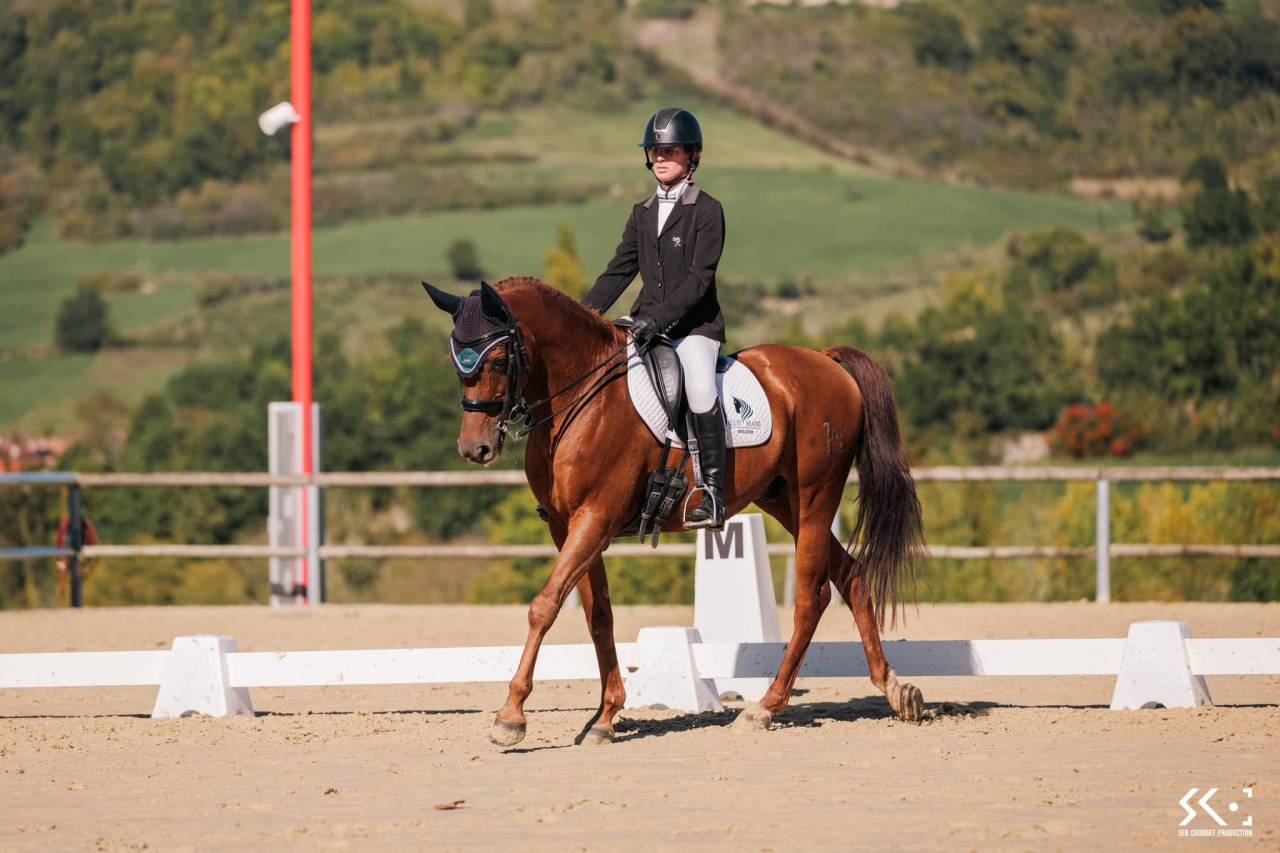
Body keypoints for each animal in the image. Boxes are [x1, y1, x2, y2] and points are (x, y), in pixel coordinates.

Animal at [421, 277, 925, 746]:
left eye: (499, 360)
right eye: (456, 361)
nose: (475, 449)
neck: (581, 395)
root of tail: (824, 359)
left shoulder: (595, 518)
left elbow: (544, 606)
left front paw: (510, 717)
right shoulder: (568, 528)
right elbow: (598, 615)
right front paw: (605, 716)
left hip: (817, 495)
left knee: (811, 597)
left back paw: (765, 707)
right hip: (783, 499)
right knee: (851, 575)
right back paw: (895, 689)